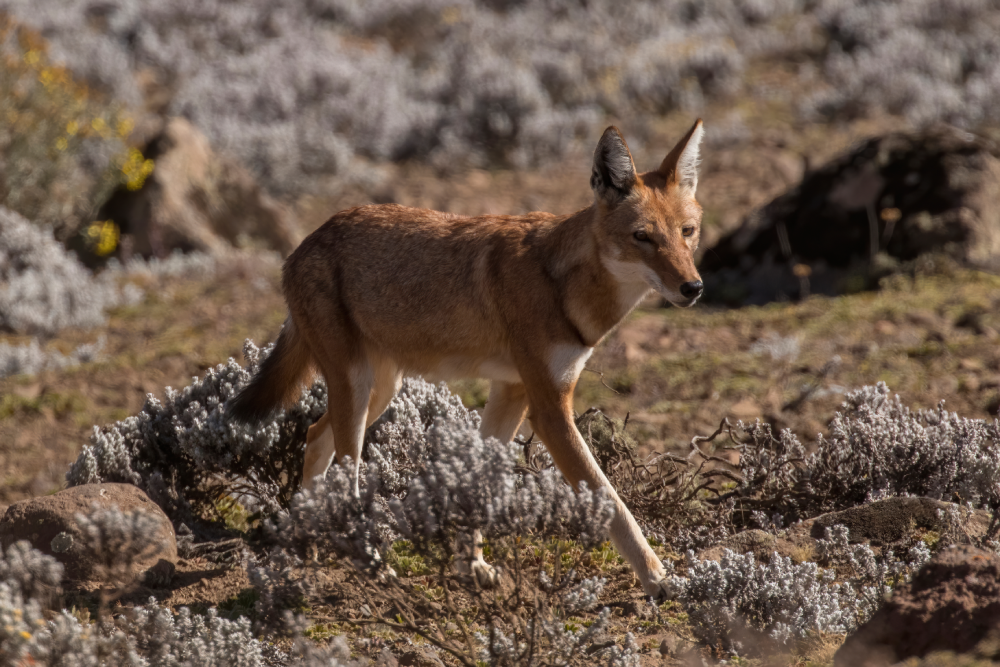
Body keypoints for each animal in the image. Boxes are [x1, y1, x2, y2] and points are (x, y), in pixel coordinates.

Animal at [230, 120, 708, 600]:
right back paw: (371, 563)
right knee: (346, 476)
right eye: (642, 237)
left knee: (314, 437)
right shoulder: (550, 411)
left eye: (687, 232)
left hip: (378, 393)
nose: (693, 288)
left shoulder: (513, 393)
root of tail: (304, 243)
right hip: (360, 391)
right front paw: (659, 578)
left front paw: (472, 565)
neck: (563, 285)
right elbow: (612, 502)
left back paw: (306, 540)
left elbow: (479, 482)